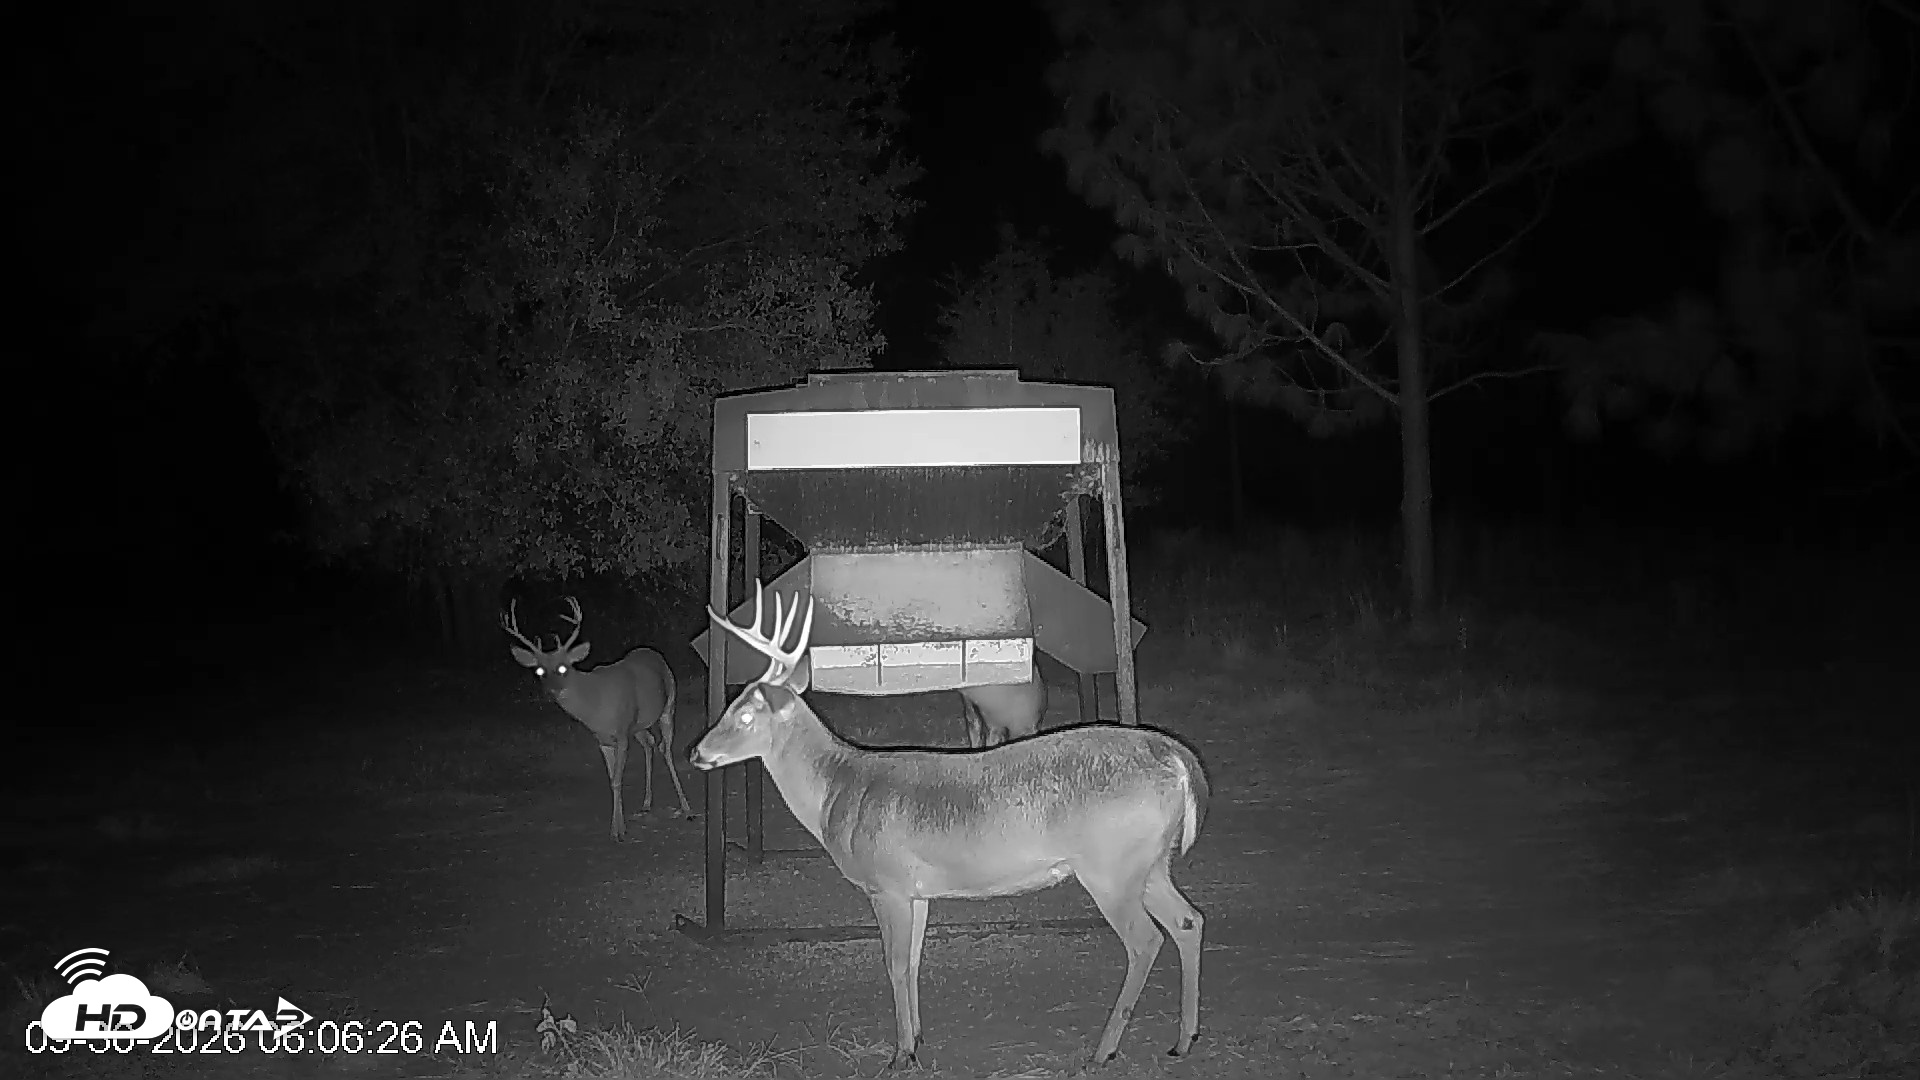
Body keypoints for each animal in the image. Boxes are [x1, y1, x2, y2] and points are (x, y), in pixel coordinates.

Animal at [500, 597, 694, 838]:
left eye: (563, 667)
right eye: (539, 671)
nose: (553, 690)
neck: (595, 705)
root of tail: (652, 651)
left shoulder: (621, 733)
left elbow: (618, 780)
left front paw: (620, 832)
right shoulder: (603, 739)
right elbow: (612, 781)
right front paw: (616, 828)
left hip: (668, 706)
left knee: (665, 749)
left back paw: (686, 808)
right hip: (639, 725)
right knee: (650, 745)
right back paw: (647, 803)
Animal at [692, 581, 1208, 1069]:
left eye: (743, 713)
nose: (697, 752)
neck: (837, 791)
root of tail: (1175, 756)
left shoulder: (887, 884)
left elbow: (895, 966)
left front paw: (900, 1054)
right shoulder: (917, 892)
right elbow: (914, 961)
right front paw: (918, 1040)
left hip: (1110, 866)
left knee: (1145, 941)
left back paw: (1104, 1050)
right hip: (1150, 863)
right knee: (1189, 920)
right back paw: (1183, 1040)